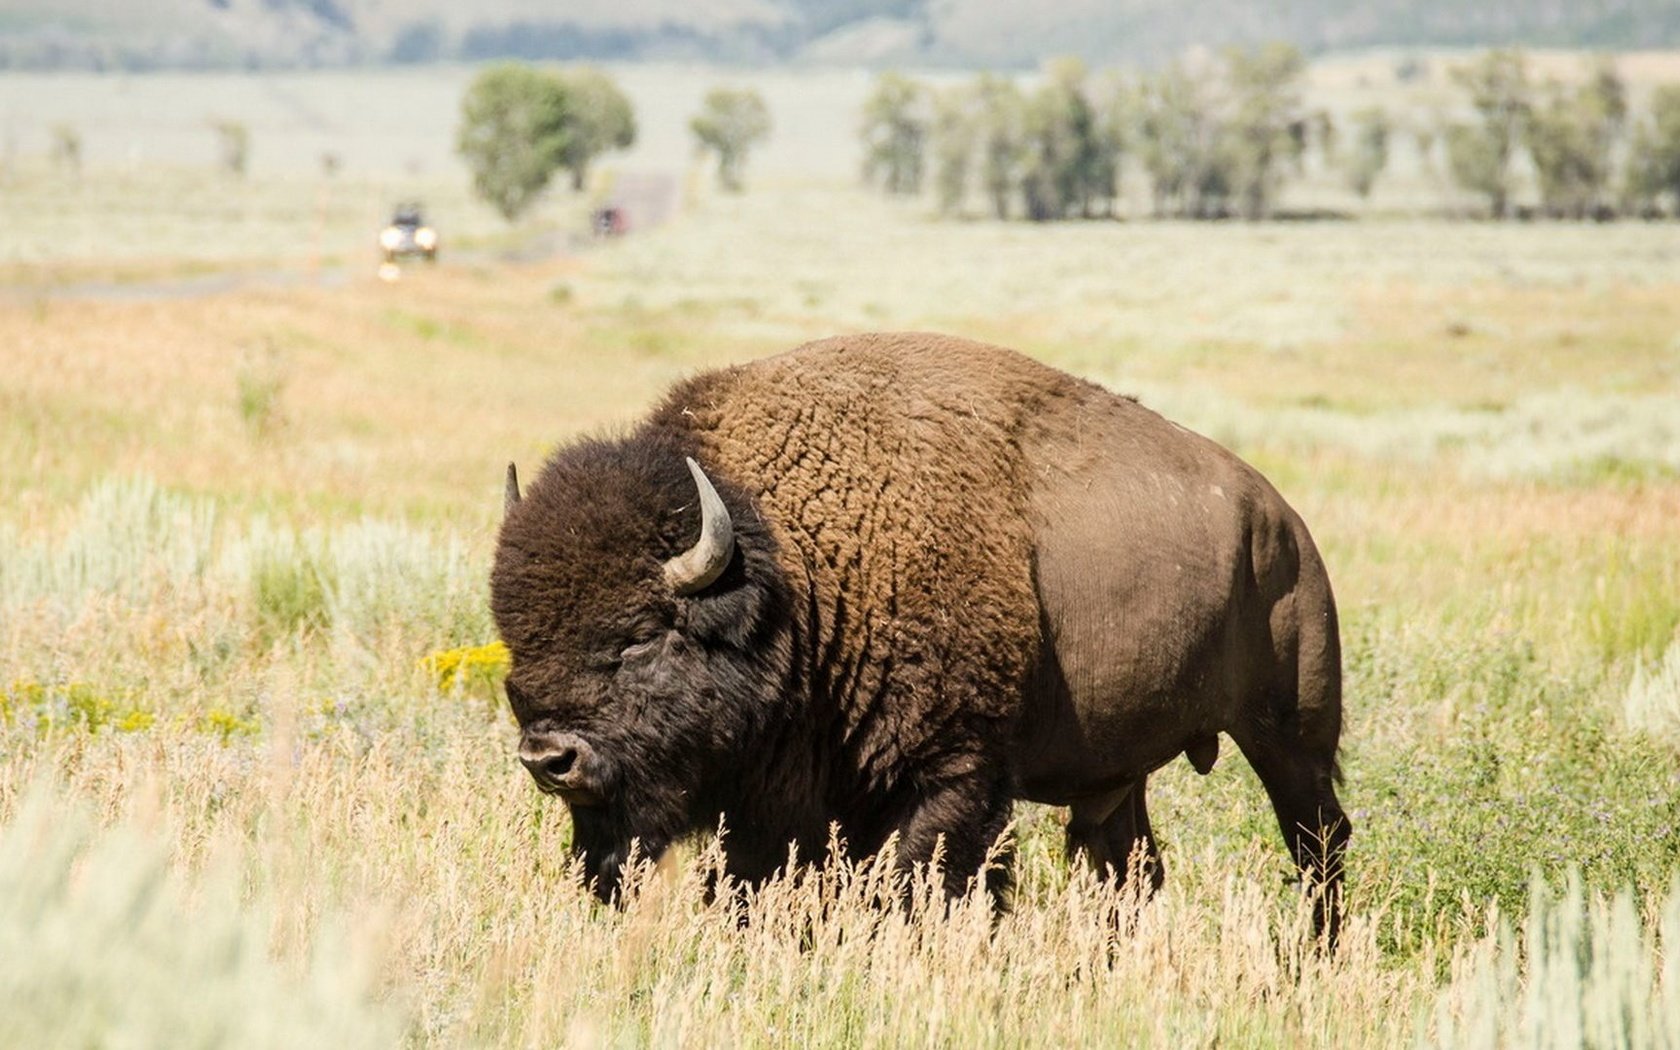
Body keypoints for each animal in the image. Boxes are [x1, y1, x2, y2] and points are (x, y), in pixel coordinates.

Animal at [490, 334, 1350, 934]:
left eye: (639, 636)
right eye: (513, 637)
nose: (549, 758)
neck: (798, 571)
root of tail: (1280, 520)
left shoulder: (952, 774)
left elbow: (915, 887)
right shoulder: (784, 804)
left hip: (1291, 736)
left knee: (1319, 843)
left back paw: (1315, 959)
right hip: (1120, 772)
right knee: (1130, 866)